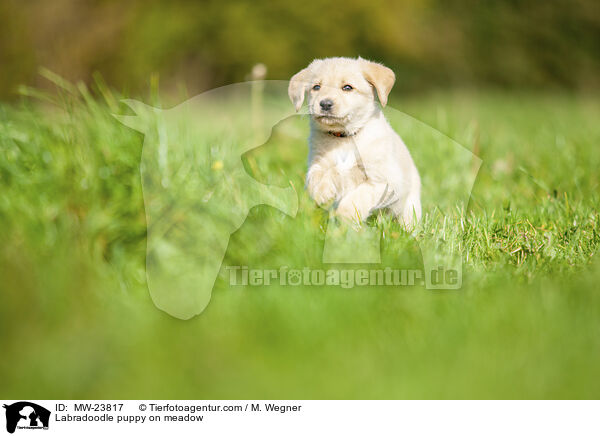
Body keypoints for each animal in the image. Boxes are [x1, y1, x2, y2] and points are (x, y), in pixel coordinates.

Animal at [288, 57, 422, 228]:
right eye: (316, 87)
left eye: (347, 87)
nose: (325, 104)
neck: (344, 137)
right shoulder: (317, 162)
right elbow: (316, 175)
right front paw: (321, 191)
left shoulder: (386, 182)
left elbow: (356, 198)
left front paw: (346, 220)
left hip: (409, 207)